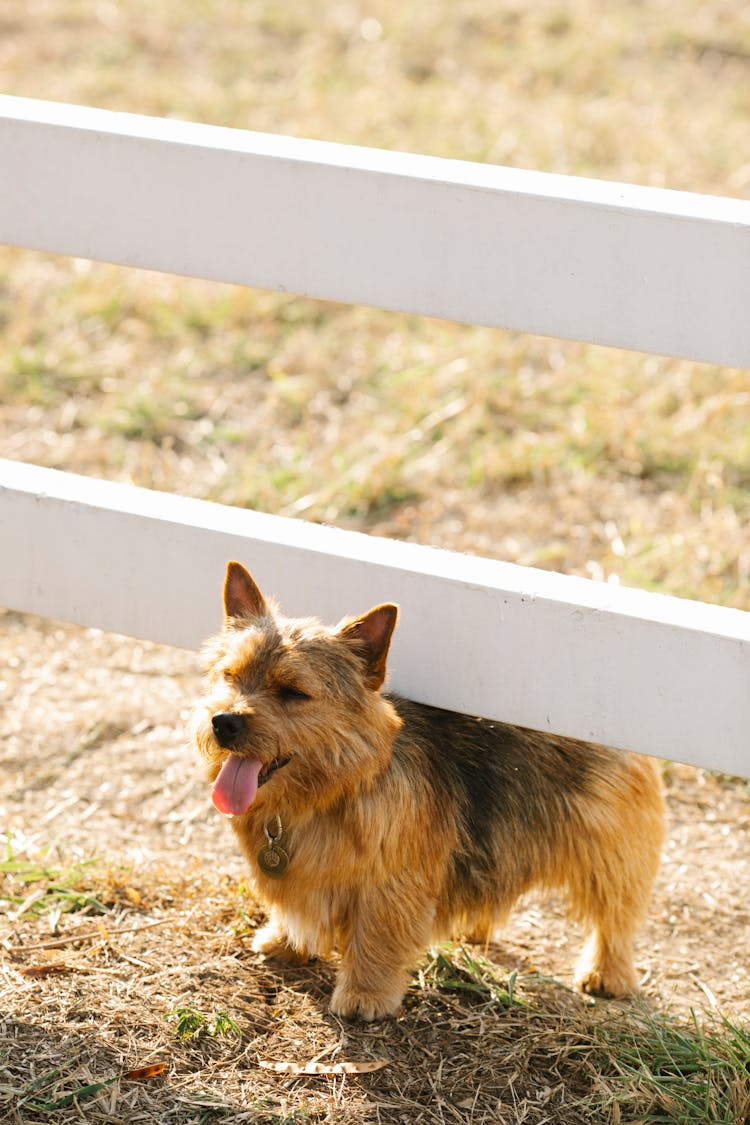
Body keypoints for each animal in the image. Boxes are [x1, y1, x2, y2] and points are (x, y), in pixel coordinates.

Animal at [192, 562, 661, 1021]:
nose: (223, 722)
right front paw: (286, 942)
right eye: (230, 675)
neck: (332, 791)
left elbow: (376, 935)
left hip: (608, 847)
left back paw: (607, 973)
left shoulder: (391, 882)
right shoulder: (304, 875)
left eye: (293, 692)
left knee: (615, 913)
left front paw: (364, 994)